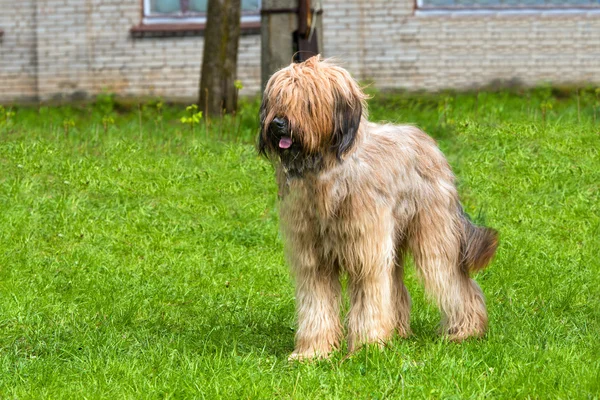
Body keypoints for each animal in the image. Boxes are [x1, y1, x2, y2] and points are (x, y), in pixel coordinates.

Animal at [258, 55, 496, 360]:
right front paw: (313, 351)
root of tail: (429, 143)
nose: (277, 124)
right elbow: (316, 304)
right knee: (396, 285)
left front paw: (367, 348)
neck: (326, 175)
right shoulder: (313, 259)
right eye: (278, 98)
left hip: (433, 234)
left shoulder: (366, 250)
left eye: (307, 101)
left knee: (454, 281)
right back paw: (398, 331)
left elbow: (368, 299)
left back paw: (467, 330)